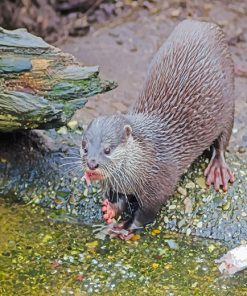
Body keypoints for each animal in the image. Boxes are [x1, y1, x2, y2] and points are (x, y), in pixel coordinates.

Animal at [80, 20, 233, 238]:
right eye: (84, 147)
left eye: (107, 149)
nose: (92, 164)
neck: (146, 160)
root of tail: (203, 23)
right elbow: (122, 198)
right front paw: (111, 209)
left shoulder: (160, 184)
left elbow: (145, 214)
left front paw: (125, 227)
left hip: (229, 101)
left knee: (222, 140)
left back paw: (218, 169)